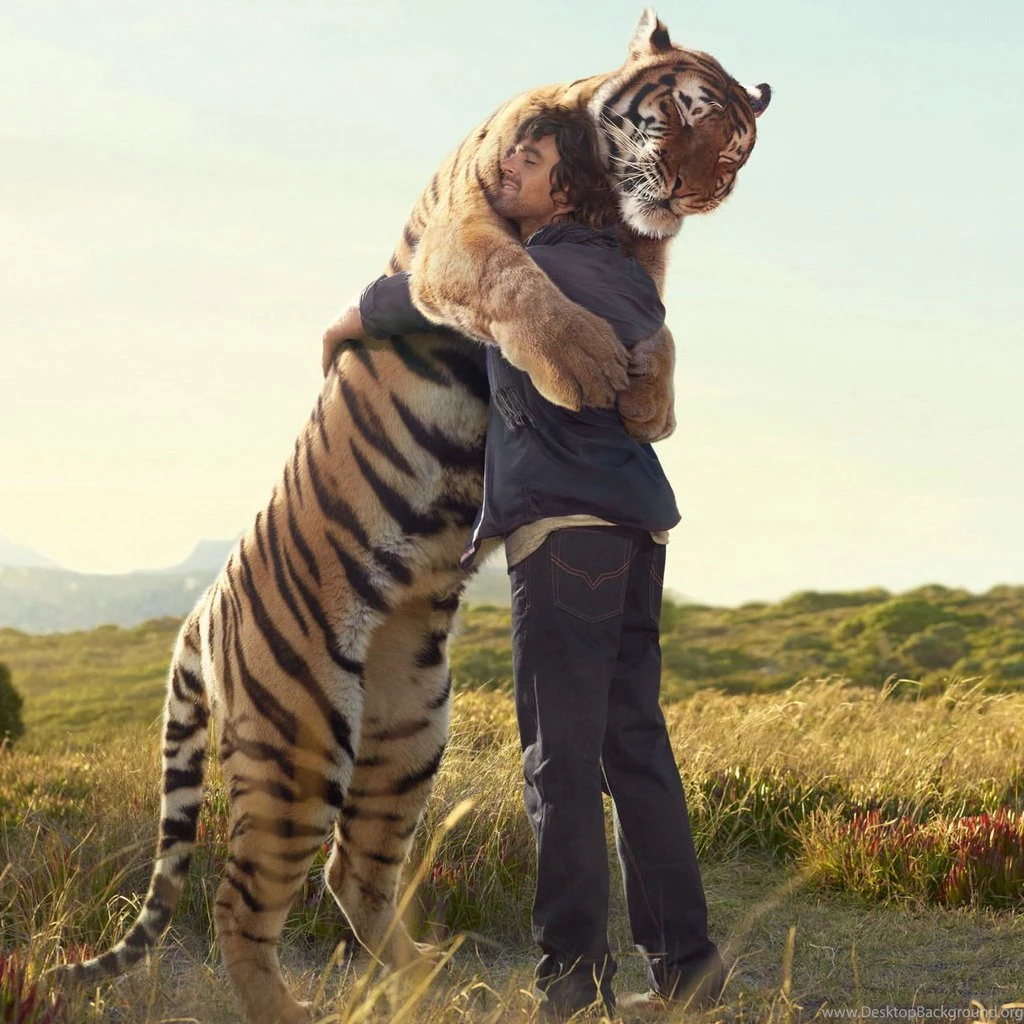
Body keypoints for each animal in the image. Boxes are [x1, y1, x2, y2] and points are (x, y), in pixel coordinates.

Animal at [51, 10, 769, 1024]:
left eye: (736, 152)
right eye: (685, 116)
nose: (697, 192)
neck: (603, 203)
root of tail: (201, 609)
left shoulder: (643, 264)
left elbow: (658, 325)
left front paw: (648, 400)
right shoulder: (464, 234)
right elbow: (518, 280)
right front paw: (587, 365)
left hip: (406, 731)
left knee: (351, 874)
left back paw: (436, 980)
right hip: (302, 743)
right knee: (243, 901)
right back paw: (302, 1010)